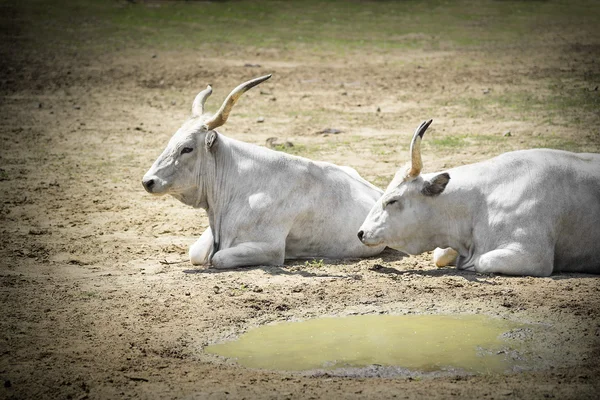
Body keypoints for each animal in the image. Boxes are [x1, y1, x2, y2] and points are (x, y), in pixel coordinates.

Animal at [358, 119, 596, 276]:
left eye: (393, 200)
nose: (361, 233)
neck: (482, 203)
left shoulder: (533, 256)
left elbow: (482, 261)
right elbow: (440, 255)